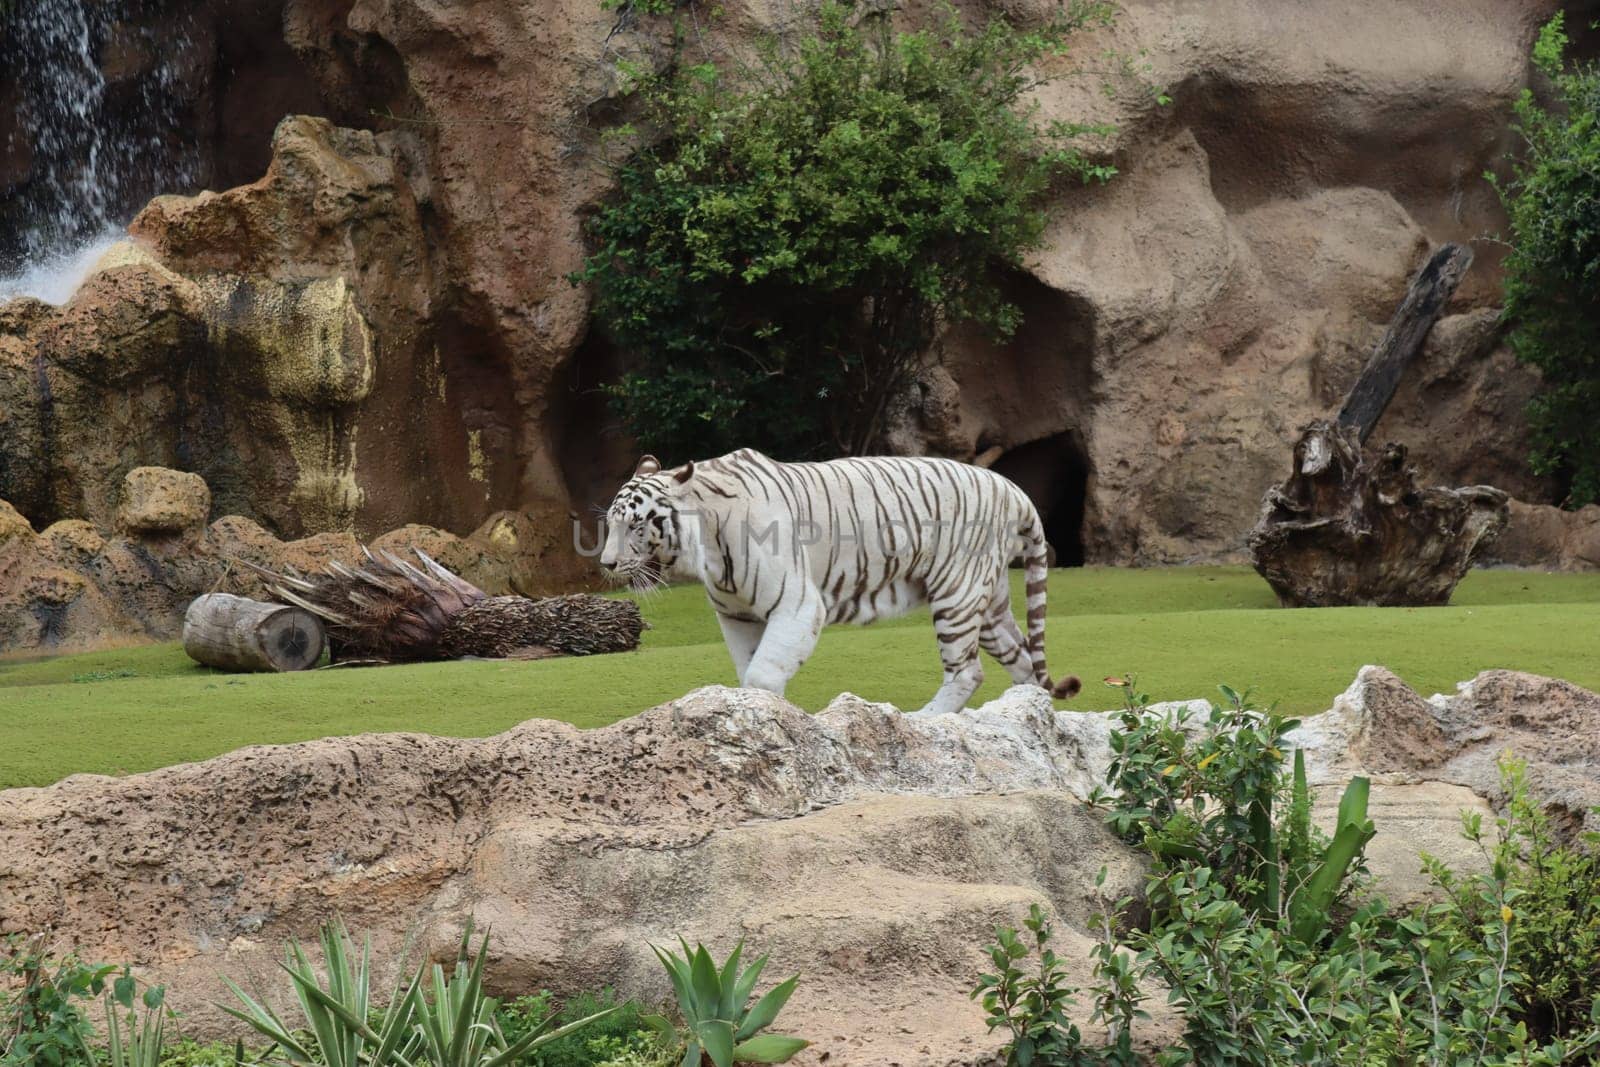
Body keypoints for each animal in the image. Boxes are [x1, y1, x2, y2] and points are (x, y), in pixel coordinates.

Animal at [601, 447, 1088, 713]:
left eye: (636, 526)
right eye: (610, 524)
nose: (605, 564)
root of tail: (1013, 489)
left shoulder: (797, 604)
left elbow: (763, 672)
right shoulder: (737, 615)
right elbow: (750, 667)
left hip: (957, 591)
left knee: (967, 671)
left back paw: (923, 719)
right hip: (988, 603)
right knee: (1022, 659)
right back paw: (1025, 717)